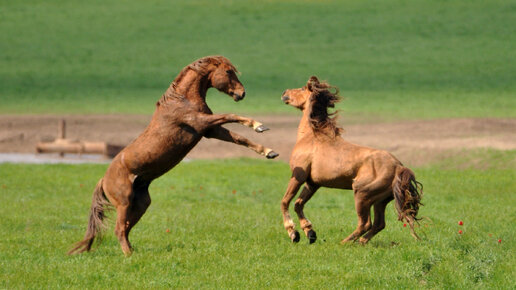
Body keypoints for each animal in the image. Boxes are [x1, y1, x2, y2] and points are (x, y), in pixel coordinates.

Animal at [69, 55, 278, 255]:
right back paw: (129, 255)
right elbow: (230, 115)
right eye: (228, 71)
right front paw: (259, 125)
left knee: (126, 228)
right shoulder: (202, 122)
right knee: (119, 229)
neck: (182, 100)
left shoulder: (211, 130)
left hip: (140, 204)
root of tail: (103, 180)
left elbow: (240, 138)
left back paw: (133, 251)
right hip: (124, 202)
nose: (241, 93)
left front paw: (269, 151)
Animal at [280, 76, 422, 245]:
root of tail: (398, 166)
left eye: (302, 88)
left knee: (366, 223)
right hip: (380, 200)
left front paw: (293, 233)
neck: (313, 137)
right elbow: (298, 204)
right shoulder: (313, 183)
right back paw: (361, 242)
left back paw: (345, 243)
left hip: (361, 194)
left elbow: (285, 202)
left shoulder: (298, 176)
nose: (284, 93)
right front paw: (310, 232)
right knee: (379, 224)